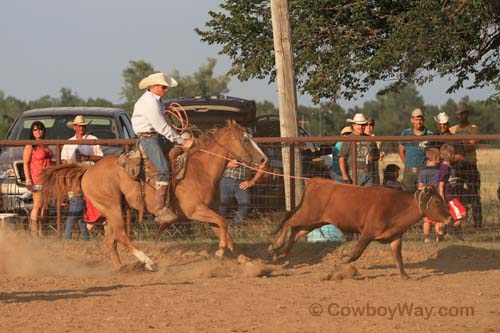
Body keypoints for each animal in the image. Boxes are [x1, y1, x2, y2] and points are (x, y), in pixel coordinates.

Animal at [40, 122, 266, 270]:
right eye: (245, 139)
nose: (263, 159)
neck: (201, 169)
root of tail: (87, 170)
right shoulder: (196, 211)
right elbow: (224, 224)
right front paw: (220, 253)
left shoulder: (209, 211)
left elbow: (224, 229)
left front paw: (247, 261)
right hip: (112, 207)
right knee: (122, 235)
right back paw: (148, 261)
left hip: (114, 209)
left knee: (111, 240)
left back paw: (122, 268)